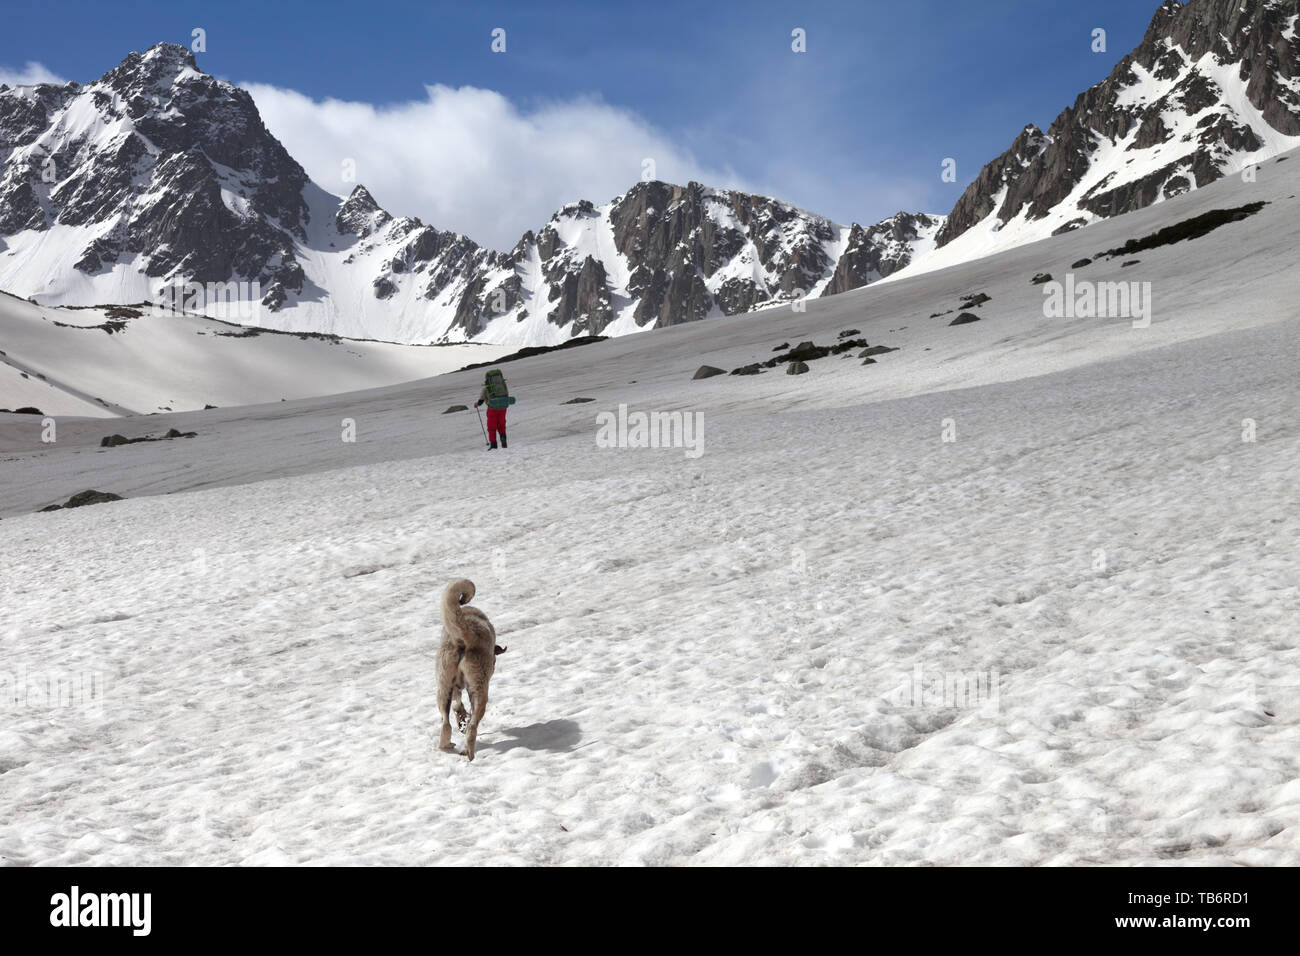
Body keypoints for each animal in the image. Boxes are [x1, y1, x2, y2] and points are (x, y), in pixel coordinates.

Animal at [431, 574, 501, 764]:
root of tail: (466, 638)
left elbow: (457, 705)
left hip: (443, 687)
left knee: (446, 723)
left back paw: (448, 745)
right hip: (479, 689)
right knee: (472, 726)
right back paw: (467, 753)